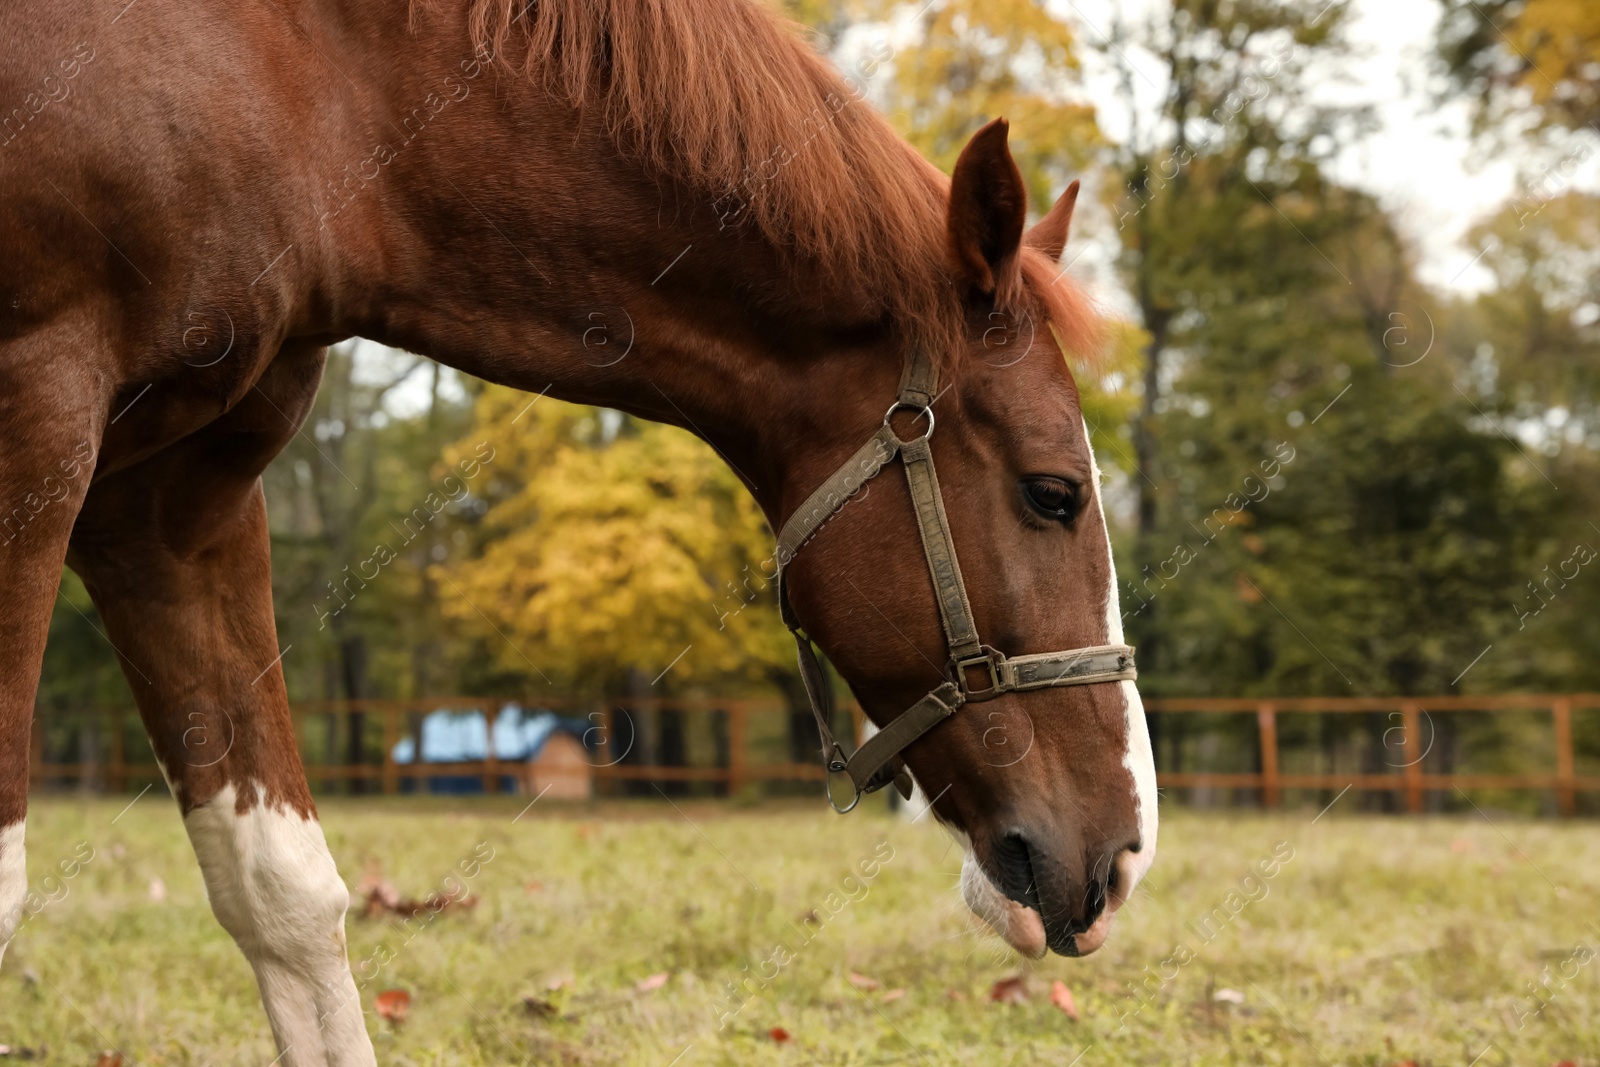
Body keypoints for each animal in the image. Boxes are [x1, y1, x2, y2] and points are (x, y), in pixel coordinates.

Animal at [0, 0, 1152, 1055]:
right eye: (1054, 492)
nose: (1124, 855)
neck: (310, 88)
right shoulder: (38, 422)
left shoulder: (176, 508)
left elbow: (282, 891)